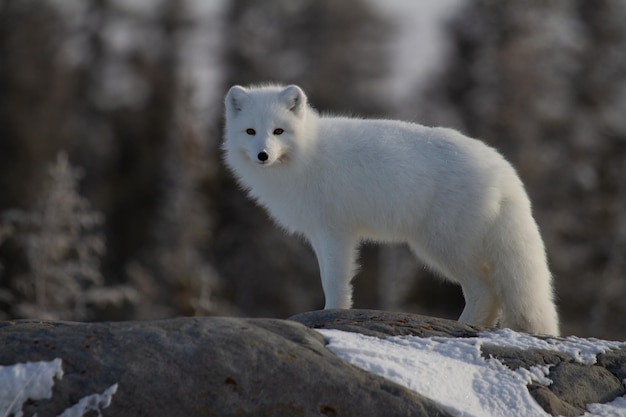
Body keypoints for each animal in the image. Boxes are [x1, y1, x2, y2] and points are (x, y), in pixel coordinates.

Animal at [222, 83, 560, 334]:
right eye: (251, 132)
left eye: (278, 131)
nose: (263, 155)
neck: (307, 154)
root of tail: (503, 169)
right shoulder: (318, 234)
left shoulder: (335, 232)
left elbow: (333, 281)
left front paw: (331, 314)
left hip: (442, 247)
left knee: (486, 292)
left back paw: (460, 327)